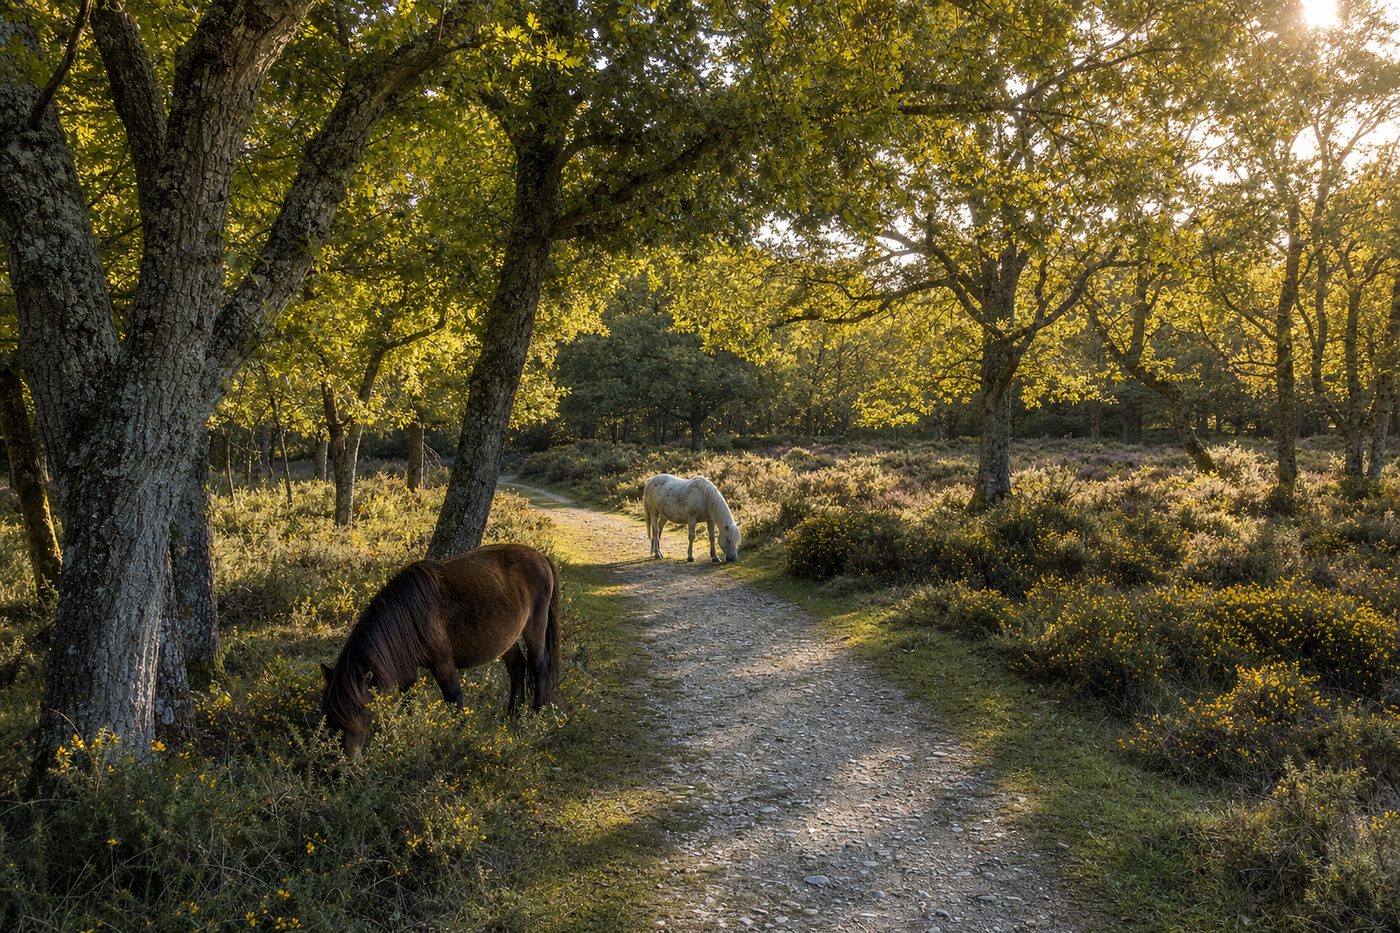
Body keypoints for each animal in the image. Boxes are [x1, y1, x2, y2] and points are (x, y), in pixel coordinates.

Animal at [320, 543, 561, 756]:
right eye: (329, 711)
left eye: (362, 709)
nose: (346, 758)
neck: (411, 615)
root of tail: (541, 558)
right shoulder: (408, 667)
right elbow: (408, 700)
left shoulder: (442, 662)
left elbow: (454, 698)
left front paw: (460, 738)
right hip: (506, 639)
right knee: (517, 667)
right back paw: (512, 715)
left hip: (535, 626)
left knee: (539, 665)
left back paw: (536, 714)